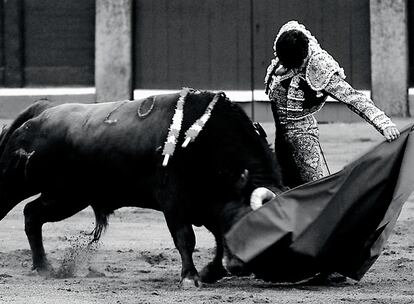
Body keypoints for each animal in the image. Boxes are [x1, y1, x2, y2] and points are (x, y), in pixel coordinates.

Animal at [0, 89, 284, 288]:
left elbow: (217, 241)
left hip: (67, 196)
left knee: (32, 214)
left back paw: (43, 267)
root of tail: (43, 110)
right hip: (22, 184)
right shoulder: (174, 201)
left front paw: (209, 273)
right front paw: (190, 277)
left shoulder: (211, 206)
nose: (245, 267)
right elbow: (185, 238)